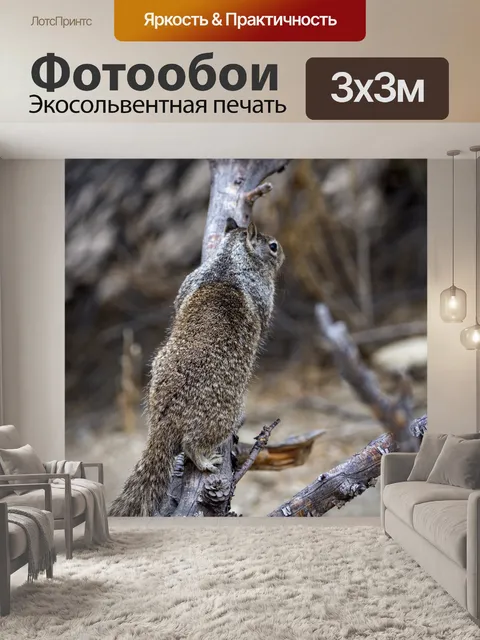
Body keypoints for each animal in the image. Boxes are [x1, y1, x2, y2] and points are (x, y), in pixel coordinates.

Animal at [109, 218, 284, 517]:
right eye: (272, 246)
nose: (283, 254)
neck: (229, 262)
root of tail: (163, 424)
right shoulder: (264, 297)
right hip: (223, 415)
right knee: (192, 444)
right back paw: (206, 460)